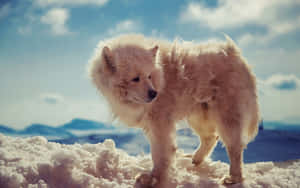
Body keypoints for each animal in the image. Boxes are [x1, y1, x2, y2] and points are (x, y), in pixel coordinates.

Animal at [88, 33, 260, 187]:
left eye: (149, 76)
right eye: (135, 78)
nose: (154, 93)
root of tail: (235, 54)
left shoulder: (160, 123)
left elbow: (160, 153)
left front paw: (153, 179)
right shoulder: (152, 124)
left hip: (226, 116)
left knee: (234, 147)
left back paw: (233, 178)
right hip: (198, 115)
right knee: (211, 138)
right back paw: (195, 159)